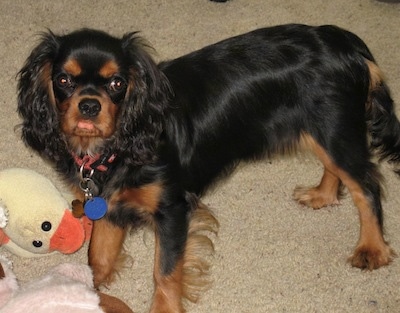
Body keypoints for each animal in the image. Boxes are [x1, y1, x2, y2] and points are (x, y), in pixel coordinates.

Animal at [16, 25, 396, 312]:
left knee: (367, 186)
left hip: (334, 129)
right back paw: (323, 195)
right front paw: (86, 290)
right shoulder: (108, 203)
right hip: (322, 132)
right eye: (64, 80)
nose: (90, 105)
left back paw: (372, 249)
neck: (114, 147)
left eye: (117, 83)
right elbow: (99, 256)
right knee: (340, 172)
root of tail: (344, 42)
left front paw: (164, 309)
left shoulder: (172, 209)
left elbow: (165, 271)